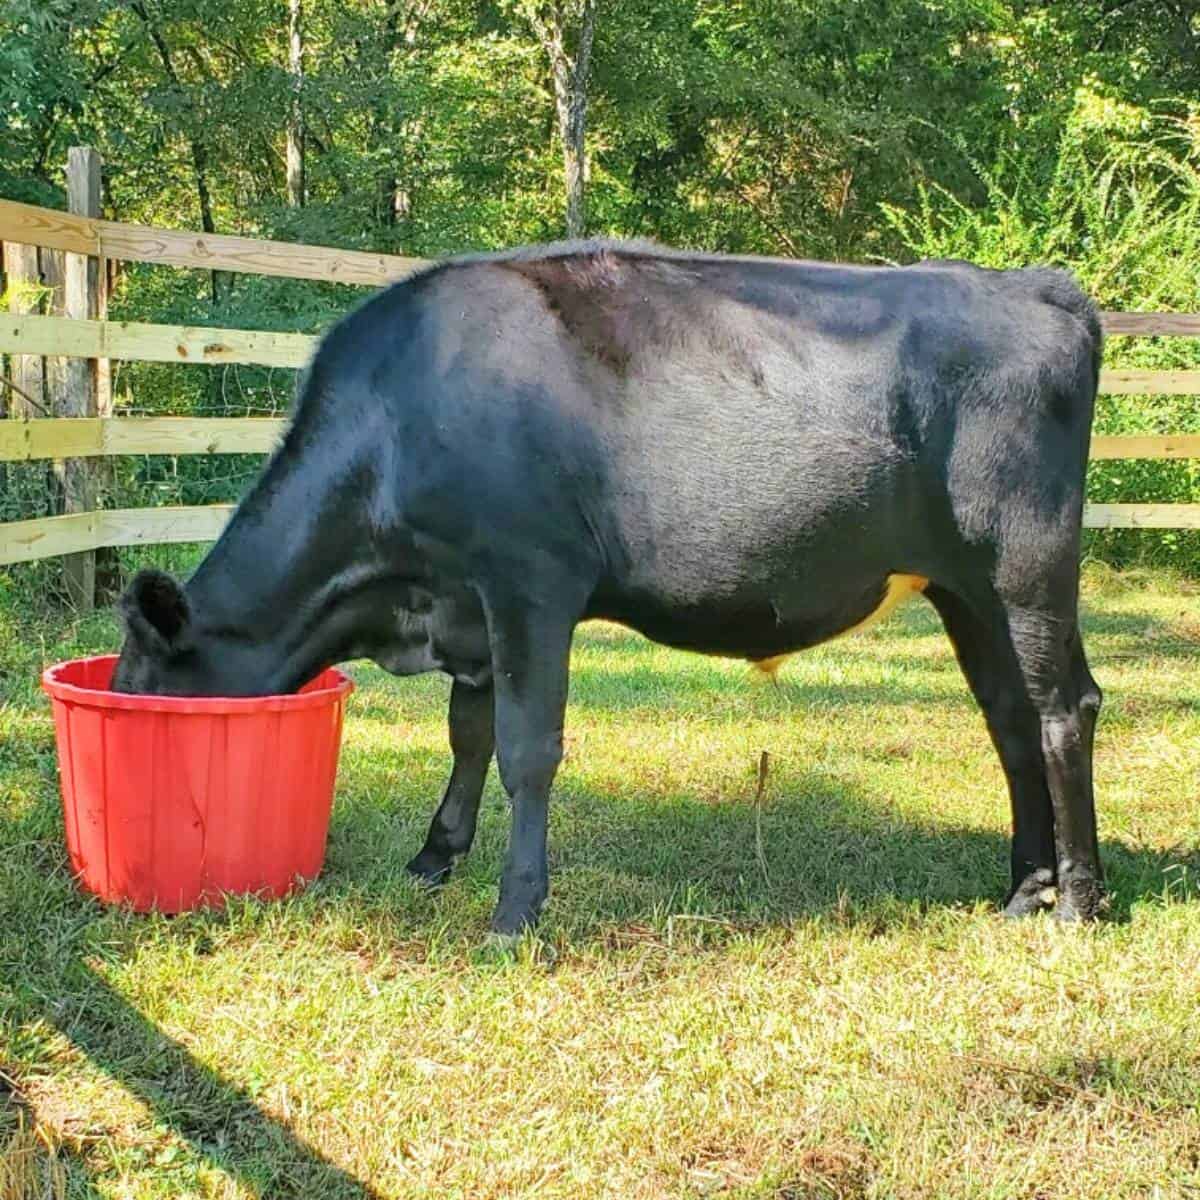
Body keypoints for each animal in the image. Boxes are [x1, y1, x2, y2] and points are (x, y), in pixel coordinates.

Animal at [112, 240, 1106, 936]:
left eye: (144, 684)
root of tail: (1032, 287)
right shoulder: (466, 606)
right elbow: (468, 734)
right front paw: (436, 856)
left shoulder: (528, 581)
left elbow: (526, 748)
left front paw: (515, 908)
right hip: (965, 587)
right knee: (1010, 718)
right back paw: (1026, 888)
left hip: (1027, 564)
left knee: (1064, 708)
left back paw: (1078, 901)